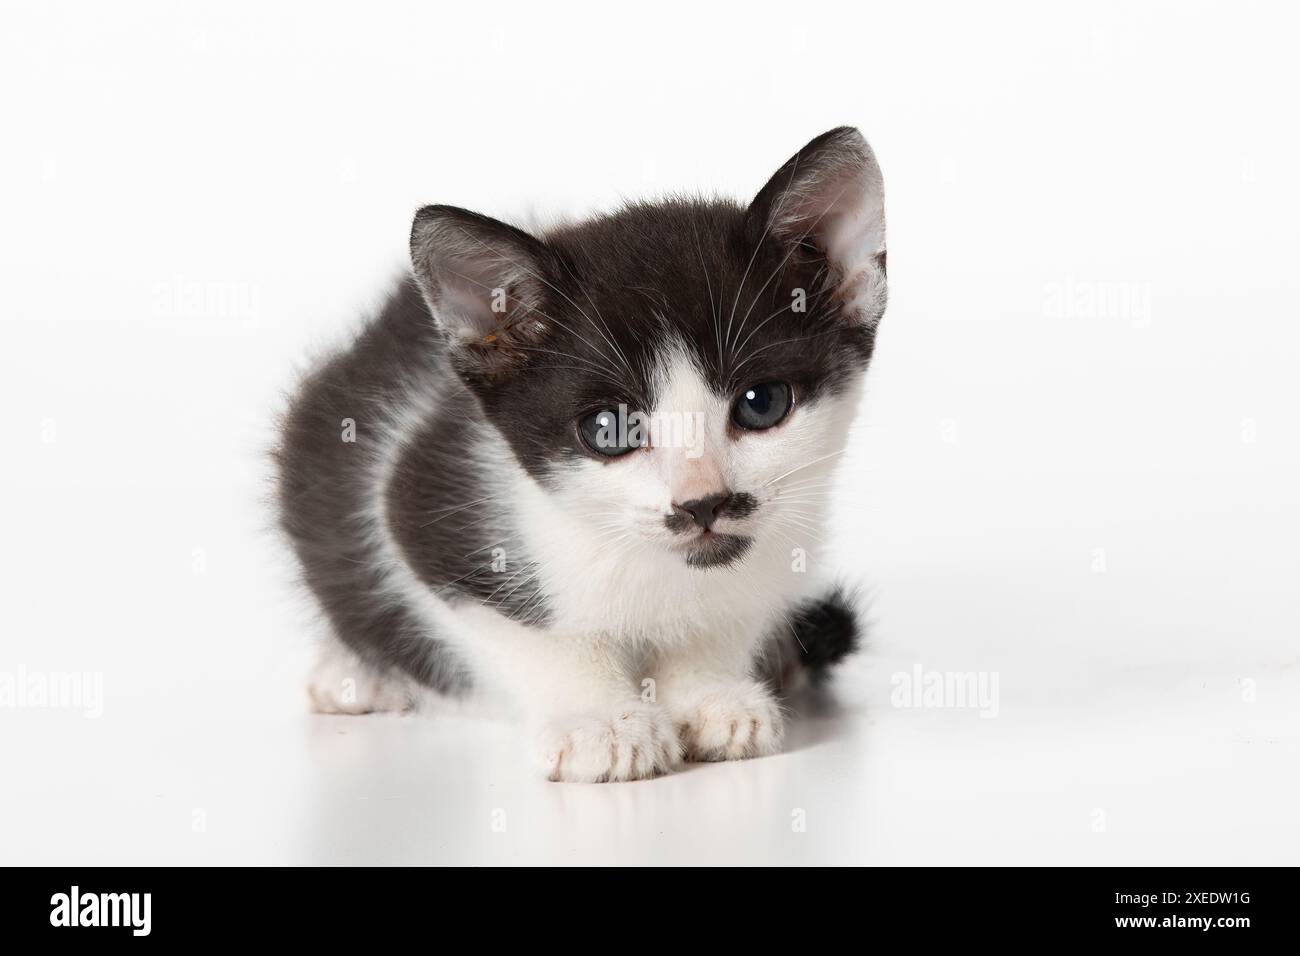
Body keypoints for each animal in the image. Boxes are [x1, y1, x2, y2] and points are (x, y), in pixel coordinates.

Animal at [273, 125, 883, 785]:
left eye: (762, 402)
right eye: (609, 429)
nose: (703, 503)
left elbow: (733, 607)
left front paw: (708, 692)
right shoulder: (422, 505)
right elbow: (533, 636)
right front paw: (600, 721)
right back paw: (351, 675)